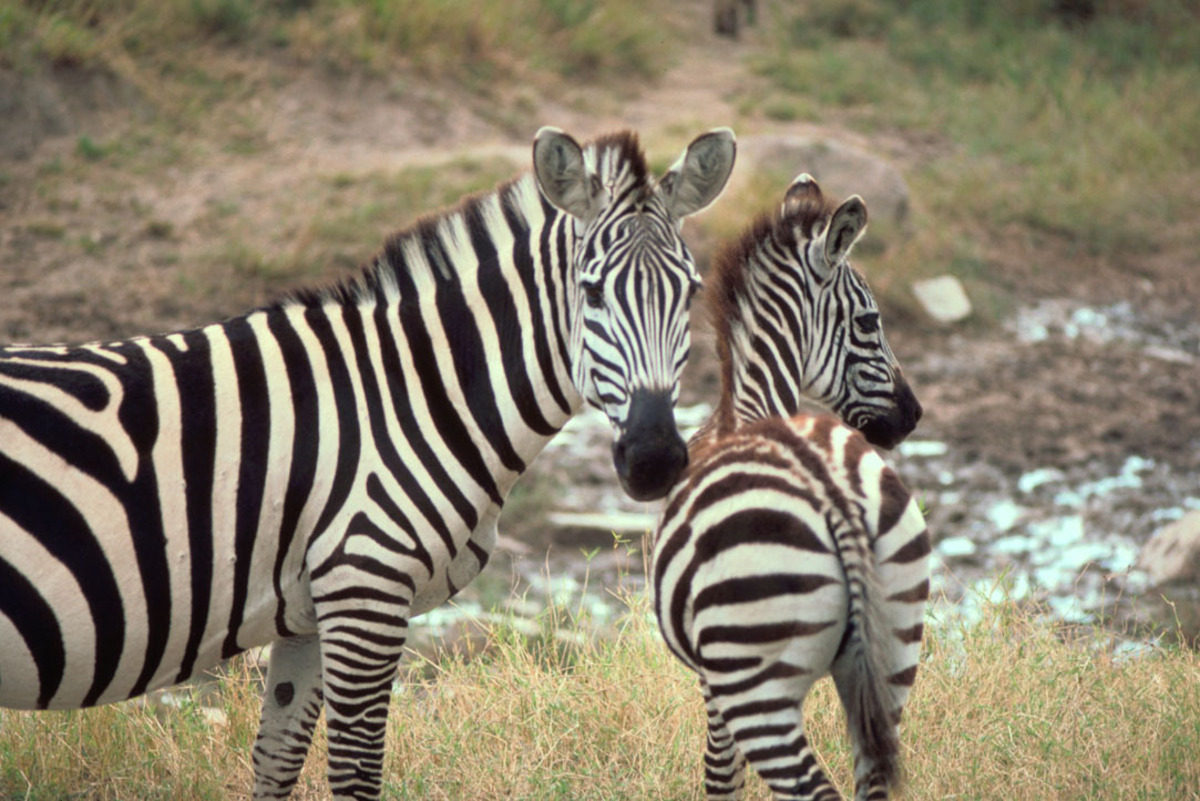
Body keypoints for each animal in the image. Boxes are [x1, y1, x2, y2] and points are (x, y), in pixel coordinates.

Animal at [0, 126, 737, 800]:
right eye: (592, 293)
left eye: (691, 291)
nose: (655, 459)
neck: (409, 392)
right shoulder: (366, 585)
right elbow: (356, 773)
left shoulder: (307, 611)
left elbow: (277, 762)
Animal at [652, 174, 930, 800]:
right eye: (870, 323)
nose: (913, 415)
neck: (749, 410)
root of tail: (837, 500)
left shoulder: (714, 675)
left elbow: (720, 774)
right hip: (897, 651)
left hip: (756, 680)